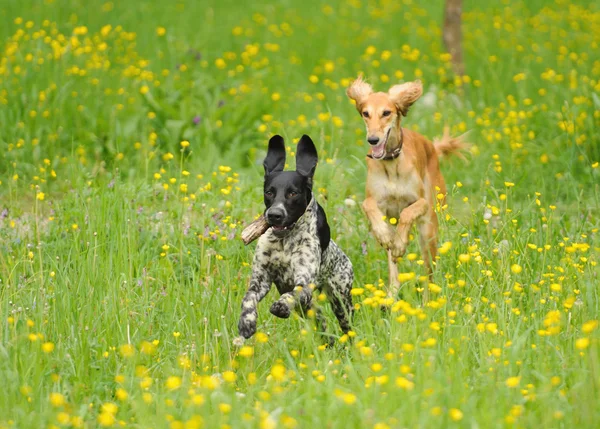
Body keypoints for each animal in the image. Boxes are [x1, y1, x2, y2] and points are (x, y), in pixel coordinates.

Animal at [238, 134, 354, 342]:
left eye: (293, 193)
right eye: (269, 192)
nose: (274, 215)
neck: (284, 241)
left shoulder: (303, 281)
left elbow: (293, 294)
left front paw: (281, 306)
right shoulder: (261, 280)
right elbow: (248, 298)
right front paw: (247, 321)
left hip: (341, 300)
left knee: (346, 325)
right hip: (307, 308)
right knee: (320, 318)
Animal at [344, 75, 466, 300]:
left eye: (386, 112)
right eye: (366, 113)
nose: (373, 139)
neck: (391, 164)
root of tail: (432, 146)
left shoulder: (422, 203)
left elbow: (409, 212)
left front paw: (401, 242)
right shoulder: (376, 202)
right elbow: (368, 206)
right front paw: (384, 235)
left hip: (429, 230)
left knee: (429, 273)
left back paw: (427, 300)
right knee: (394, 269)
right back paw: (391, 296)